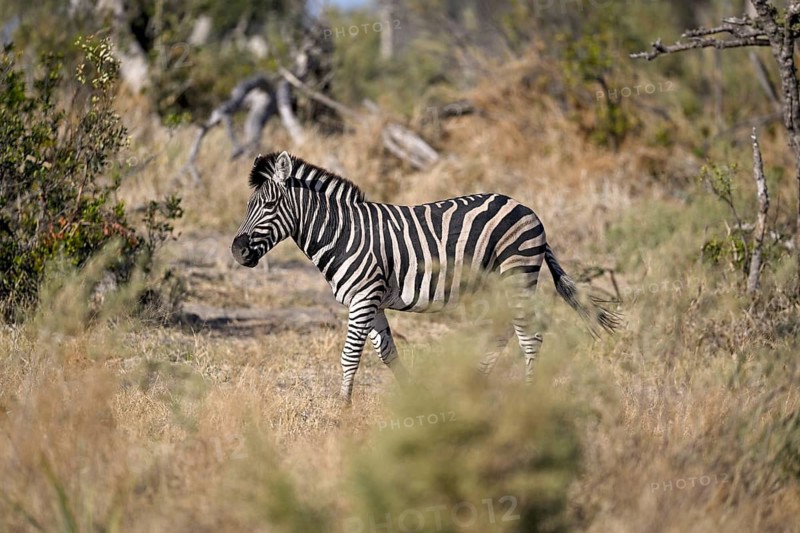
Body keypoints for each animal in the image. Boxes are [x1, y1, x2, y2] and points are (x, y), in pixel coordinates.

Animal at [231, 151, 619, 404]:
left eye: (268, 206)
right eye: (248, 206)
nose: (237, 251)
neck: (340, 232)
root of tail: (527, 208)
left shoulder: (364, 296)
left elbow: (350, 355)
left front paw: (342, 411)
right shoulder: (372, 301)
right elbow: (387, 353)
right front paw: (413, 396)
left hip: (517, 274)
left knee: (529, 336)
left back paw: (529, 395)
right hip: (495, 283)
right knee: (502, 332)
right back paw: (478, 385)